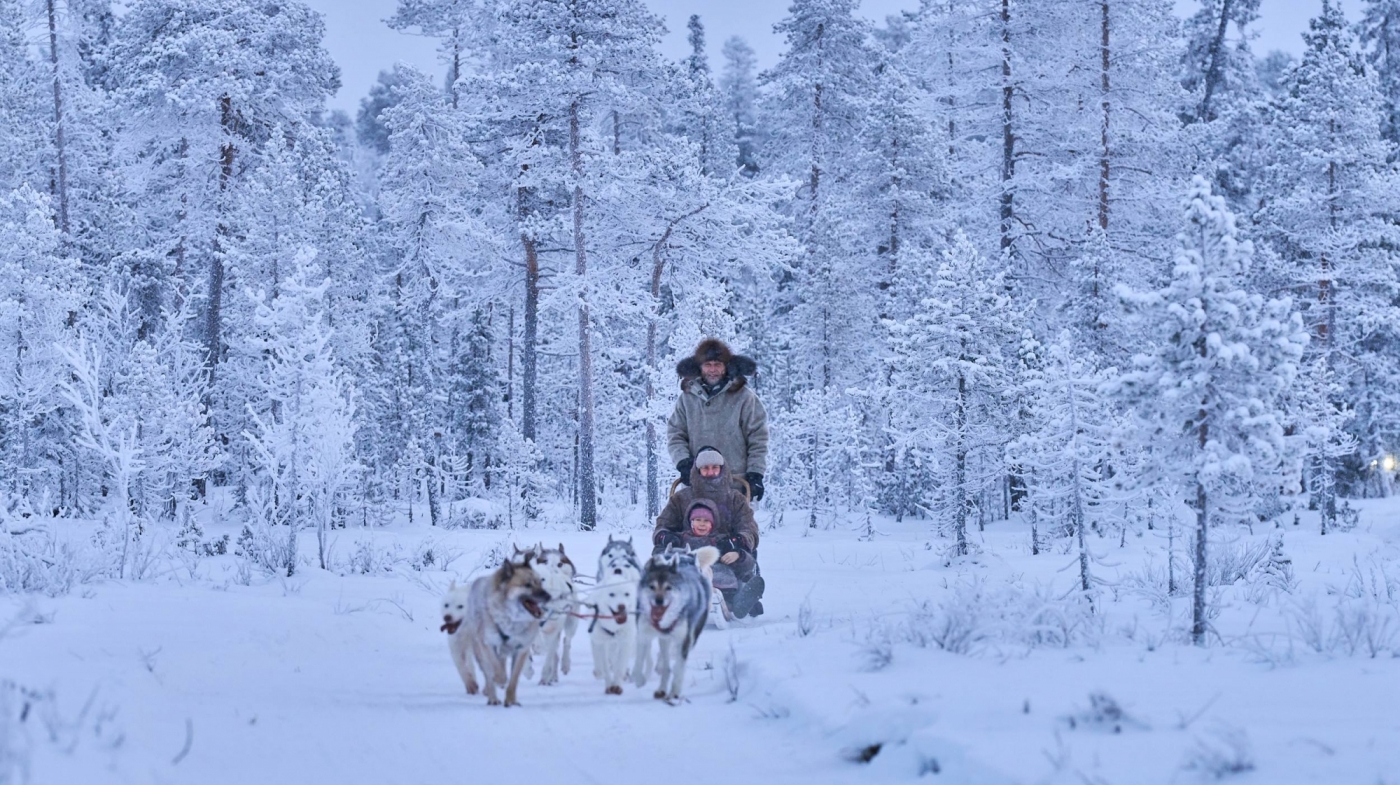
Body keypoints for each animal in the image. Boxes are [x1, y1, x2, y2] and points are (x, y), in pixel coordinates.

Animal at [441, 557, 551, 707]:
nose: (548, 596)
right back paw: (492, 697)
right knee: (488, 672)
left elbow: (513, 680)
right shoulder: (485, 644)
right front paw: (497, 681)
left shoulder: (521, 648)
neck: (511, 620)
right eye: (527, 585)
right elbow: (491, 669)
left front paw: (511, 700)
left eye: (540, 582)